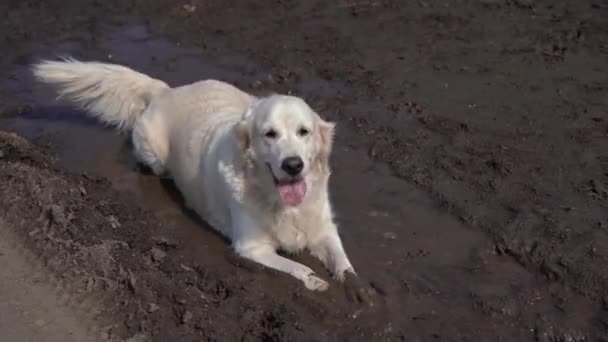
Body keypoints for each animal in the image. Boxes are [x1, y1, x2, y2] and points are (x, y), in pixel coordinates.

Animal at [30, 58, 358, 292]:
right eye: (270, 134)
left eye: (304, 132)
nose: (293, 165)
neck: (280, 202)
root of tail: (167, 90)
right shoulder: (251, 247)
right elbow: (297, 268)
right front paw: (314, 280)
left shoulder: (323, 227)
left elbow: (341, 256)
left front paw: (354, 284)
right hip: (153, 152)